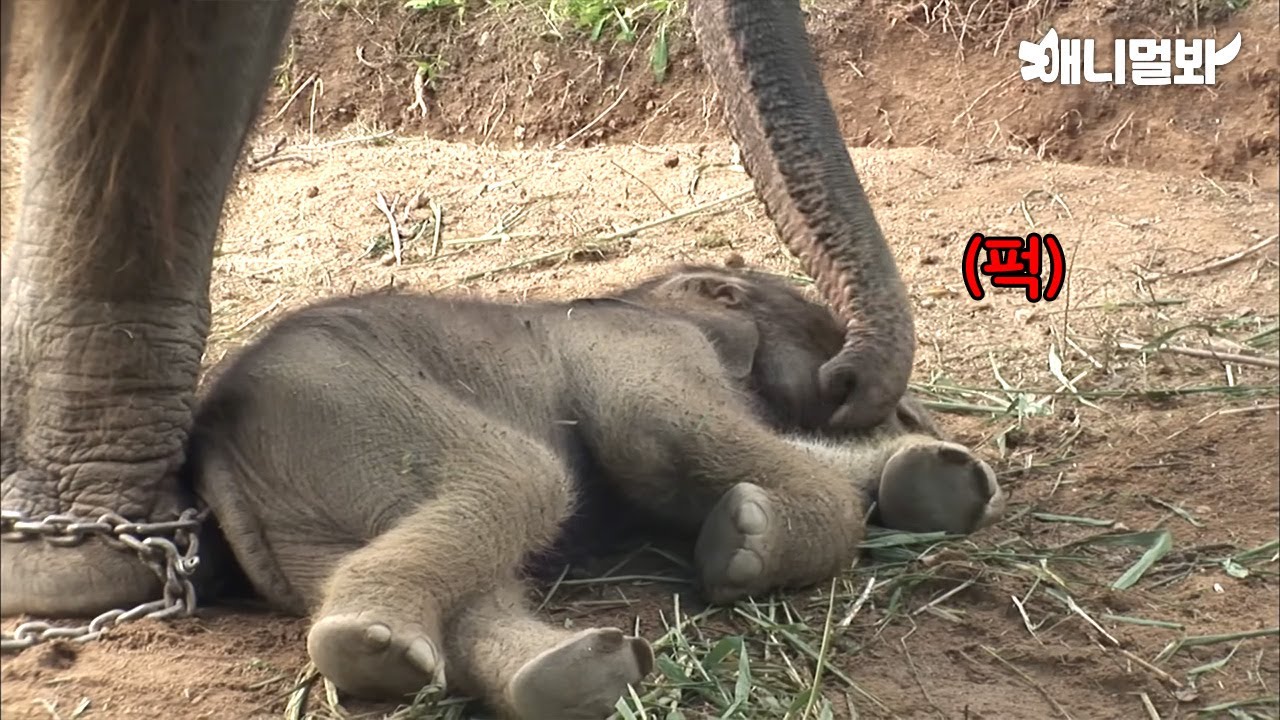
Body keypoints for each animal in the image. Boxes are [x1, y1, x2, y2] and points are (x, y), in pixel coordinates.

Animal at [0, 0, 916, 619]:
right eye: (815, 331)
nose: (851, 381)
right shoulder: (643, 348)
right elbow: (662, 432)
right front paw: (743, 543)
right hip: (347, 402)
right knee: (519, 479)